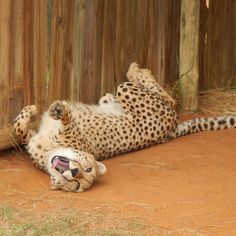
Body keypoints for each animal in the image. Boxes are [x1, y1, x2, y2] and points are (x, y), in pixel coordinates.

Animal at [14, 62, 236, 192]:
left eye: (86, 173)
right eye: (74, 184)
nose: (75, 173)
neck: (47, 155)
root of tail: (170, 131)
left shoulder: (76, 136)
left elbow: (63, 122)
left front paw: (51, 110)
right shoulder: (34, 137)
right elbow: (19, 129)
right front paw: (30, 111)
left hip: (128, 92)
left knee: (168, 99)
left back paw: (137, 69)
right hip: (109, 98)